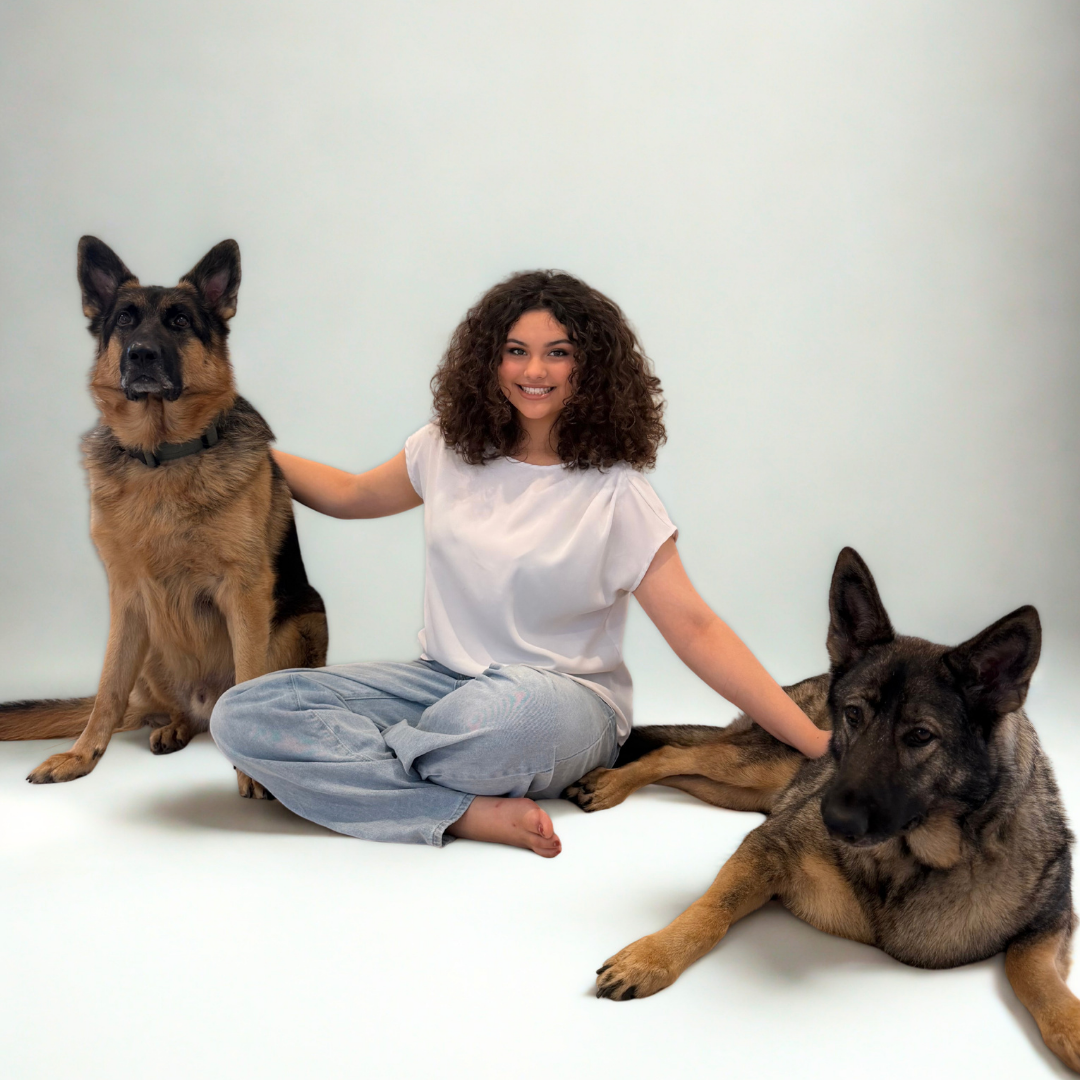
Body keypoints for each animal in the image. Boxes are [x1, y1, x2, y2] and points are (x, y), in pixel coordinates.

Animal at [0, 237, 328, 797]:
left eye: (178, 321)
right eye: (125, 320)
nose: (141, 354)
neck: (164, 455)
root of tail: (202, 704)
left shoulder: (245, 592)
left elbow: (248, 677)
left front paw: (251, 772)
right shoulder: (126, 596)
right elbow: (107, 689)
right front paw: (82, 755)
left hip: (302, 624)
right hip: (152, 644)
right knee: (164, 709)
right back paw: (174, 726)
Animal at [565, 547, 1079, 1071]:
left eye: (920, 735)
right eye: (852, 715)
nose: (833, 819)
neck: (913, 858)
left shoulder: (1053, 920)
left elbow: (1030, 970)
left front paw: (1072, 1027)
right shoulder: (766, 848)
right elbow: (710, 908)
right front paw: (653, 955)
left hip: (737, 789)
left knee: (681, 765)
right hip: (750, 767)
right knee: (675, 753)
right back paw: (611, 783)